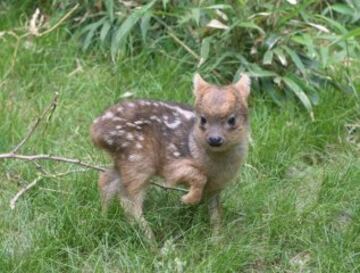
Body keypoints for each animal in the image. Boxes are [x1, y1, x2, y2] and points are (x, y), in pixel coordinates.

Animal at [90, 73, 250, 239]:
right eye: (203, 119)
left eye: (232, 120)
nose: (214, 139)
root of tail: (96, 131)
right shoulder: (173, 164)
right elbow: (198, 176)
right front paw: (187, 199)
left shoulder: (217, 185)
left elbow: (216, 212)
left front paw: (217, 238)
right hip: (139, 158)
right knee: (129, 202)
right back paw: (151, 240)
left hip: (125, 159)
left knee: (106, 180)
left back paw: (103, 218)